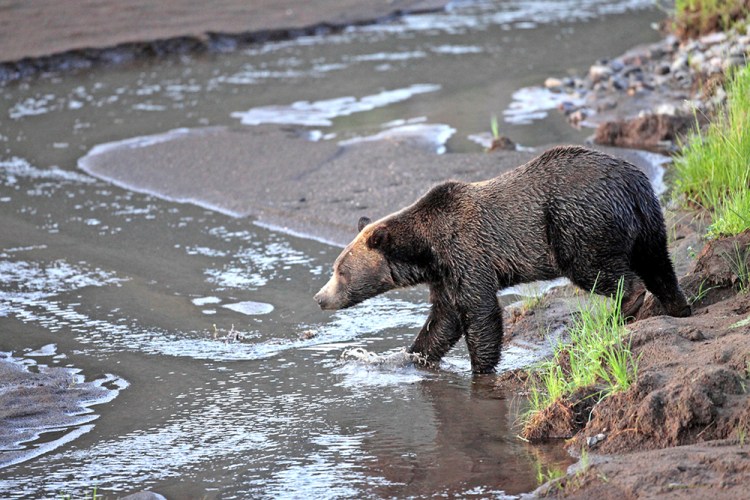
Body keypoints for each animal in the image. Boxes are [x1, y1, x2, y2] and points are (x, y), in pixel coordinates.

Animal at [312, 145, 692, 372]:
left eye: (341, 271)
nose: (319, 297)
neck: (425, 250)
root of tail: (632, 181)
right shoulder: (445, 275)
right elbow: (443, 320)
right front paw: (409, 357)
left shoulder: (466, 253)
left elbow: (480, 313)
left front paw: (480, 368)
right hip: (648, 221)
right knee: (659, 264)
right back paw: (678, 306)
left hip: (578, 222)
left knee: (598, 269)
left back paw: (623, 309)